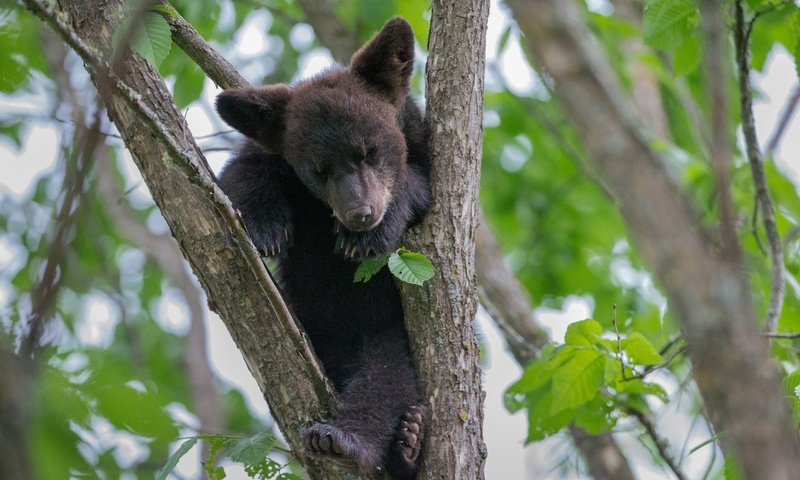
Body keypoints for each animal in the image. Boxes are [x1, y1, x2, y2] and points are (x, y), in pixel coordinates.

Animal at [216, 16, 432, 478]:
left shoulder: (423, 149)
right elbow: (241, 172)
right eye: (319, 170)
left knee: (387, 378)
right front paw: (266, 226)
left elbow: (419, 185)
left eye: (369, 151)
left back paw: (368, 440)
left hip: (390, 333)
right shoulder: (267, 147)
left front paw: (366, 237)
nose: (360, 213)